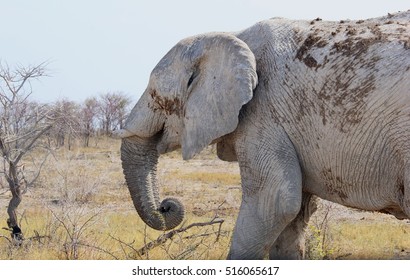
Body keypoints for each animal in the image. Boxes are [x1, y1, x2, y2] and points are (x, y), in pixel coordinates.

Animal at [114, 10, 410, 260]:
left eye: (156, 97)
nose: (167, 205)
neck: (231, 34)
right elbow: (295, 214)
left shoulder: (264, 112)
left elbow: (276, 200)